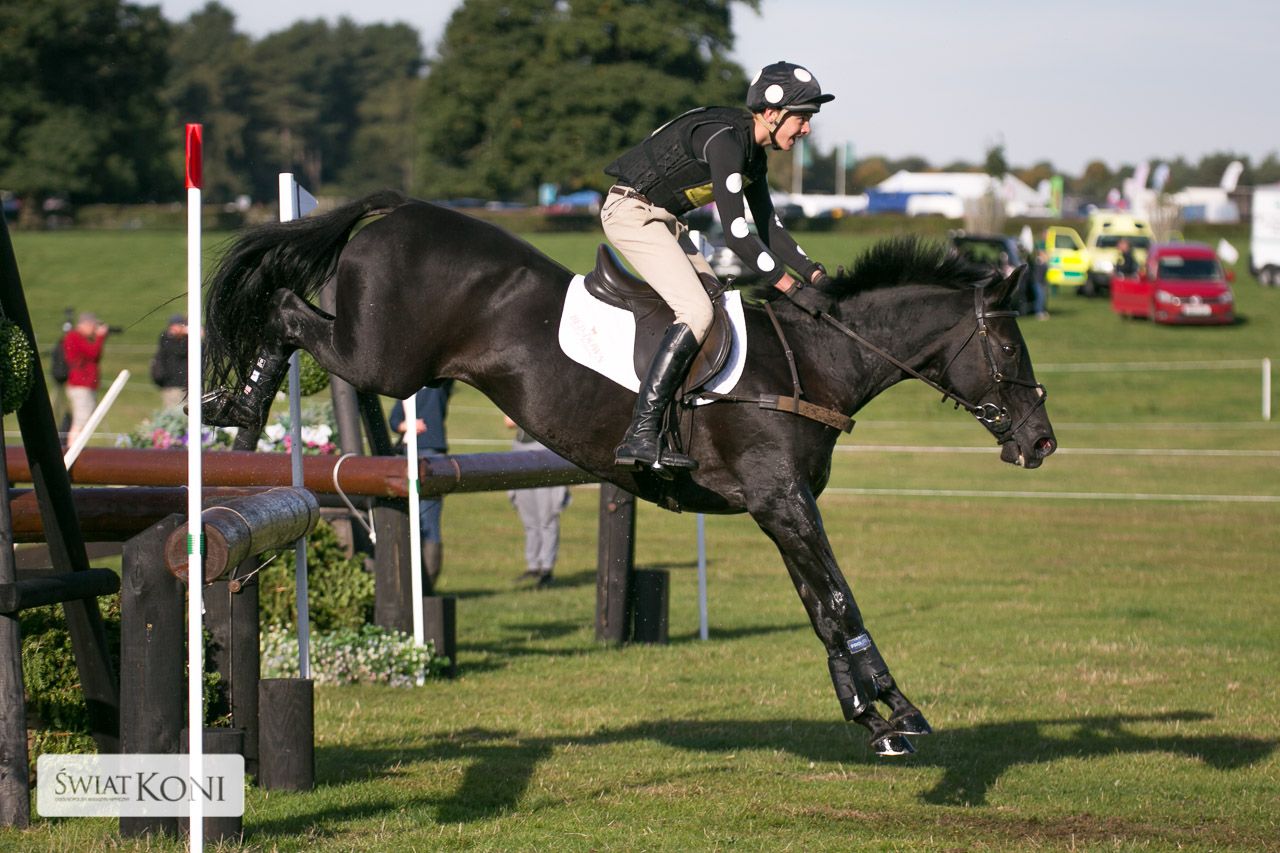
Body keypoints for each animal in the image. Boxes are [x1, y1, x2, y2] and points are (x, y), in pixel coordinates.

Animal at [201, 189, 1056, 756]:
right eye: (1010, 347)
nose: (1042, 442)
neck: (817, 360)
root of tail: (395, 212)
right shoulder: (782, 499)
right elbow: (842, 597)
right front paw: (898, 711)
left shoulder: (778, 509)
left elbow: (821, 605)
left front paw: (868, 712)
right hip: (383, 359)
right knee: (284, 306)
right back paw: (241, 401)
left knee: (288, 306)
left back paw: (237, 403)